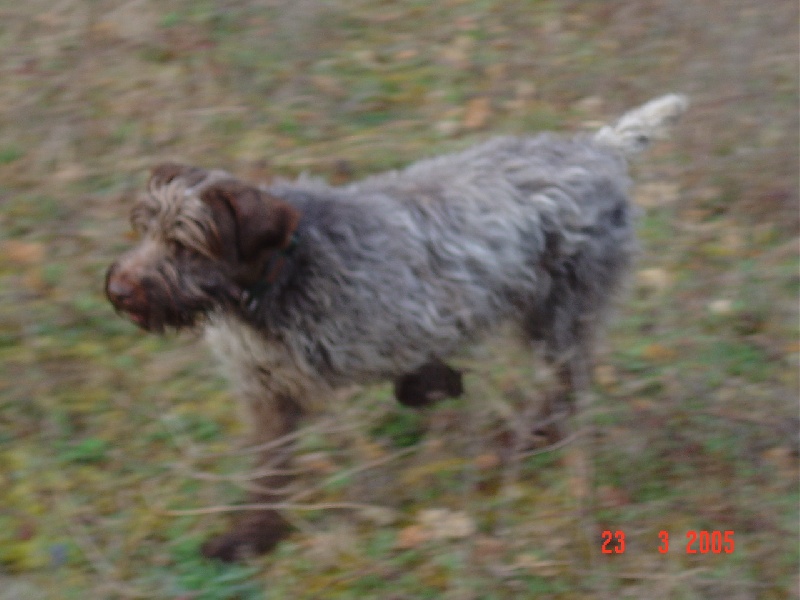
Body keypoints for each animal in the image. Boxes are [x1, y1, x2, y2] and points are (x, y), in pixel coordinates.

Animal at [106, 91, 688, 560]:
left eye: (186, 245)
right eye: (145, 230)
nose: (119, 291)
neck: (280, 277)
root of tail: (599, 151)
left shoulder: (419, 312)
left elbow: (414, 378)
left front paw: (439, 385)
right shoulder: (271, 393)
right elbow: (270, 474)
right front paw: (251, 537)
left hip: (562, 313)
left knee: (567, 386)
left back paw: (525, 440)